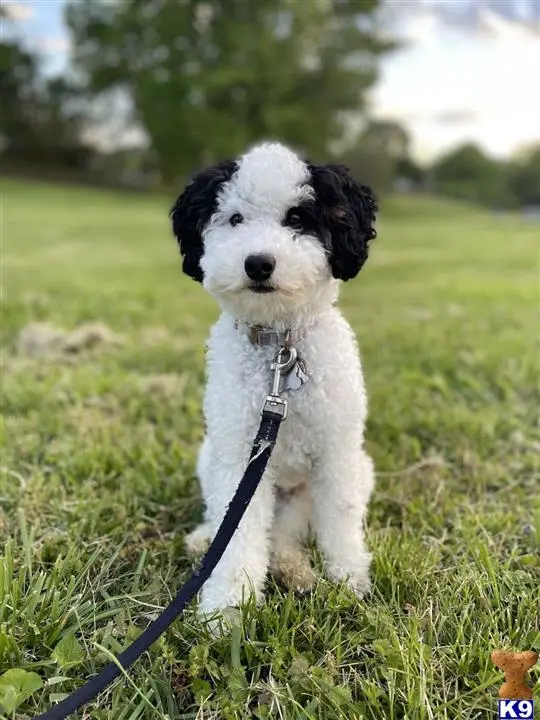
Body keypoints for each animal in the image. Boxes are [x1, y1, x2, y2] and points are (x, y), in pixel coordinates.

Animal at [171, 139, 378, 620]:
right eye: (235, 219)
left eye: (297, 218)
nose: (259, 263)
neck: (279, 352)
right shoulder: (238, 457)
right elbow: (236, 536)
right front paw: (226, 608)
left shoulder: (337, 455)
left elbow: (340, 521)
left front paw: (349, 578)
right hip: (211, 459)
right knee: (235, 524)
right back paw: (207, 540)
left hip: (349, 475)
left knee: (285, 537)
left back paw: (296, 572)